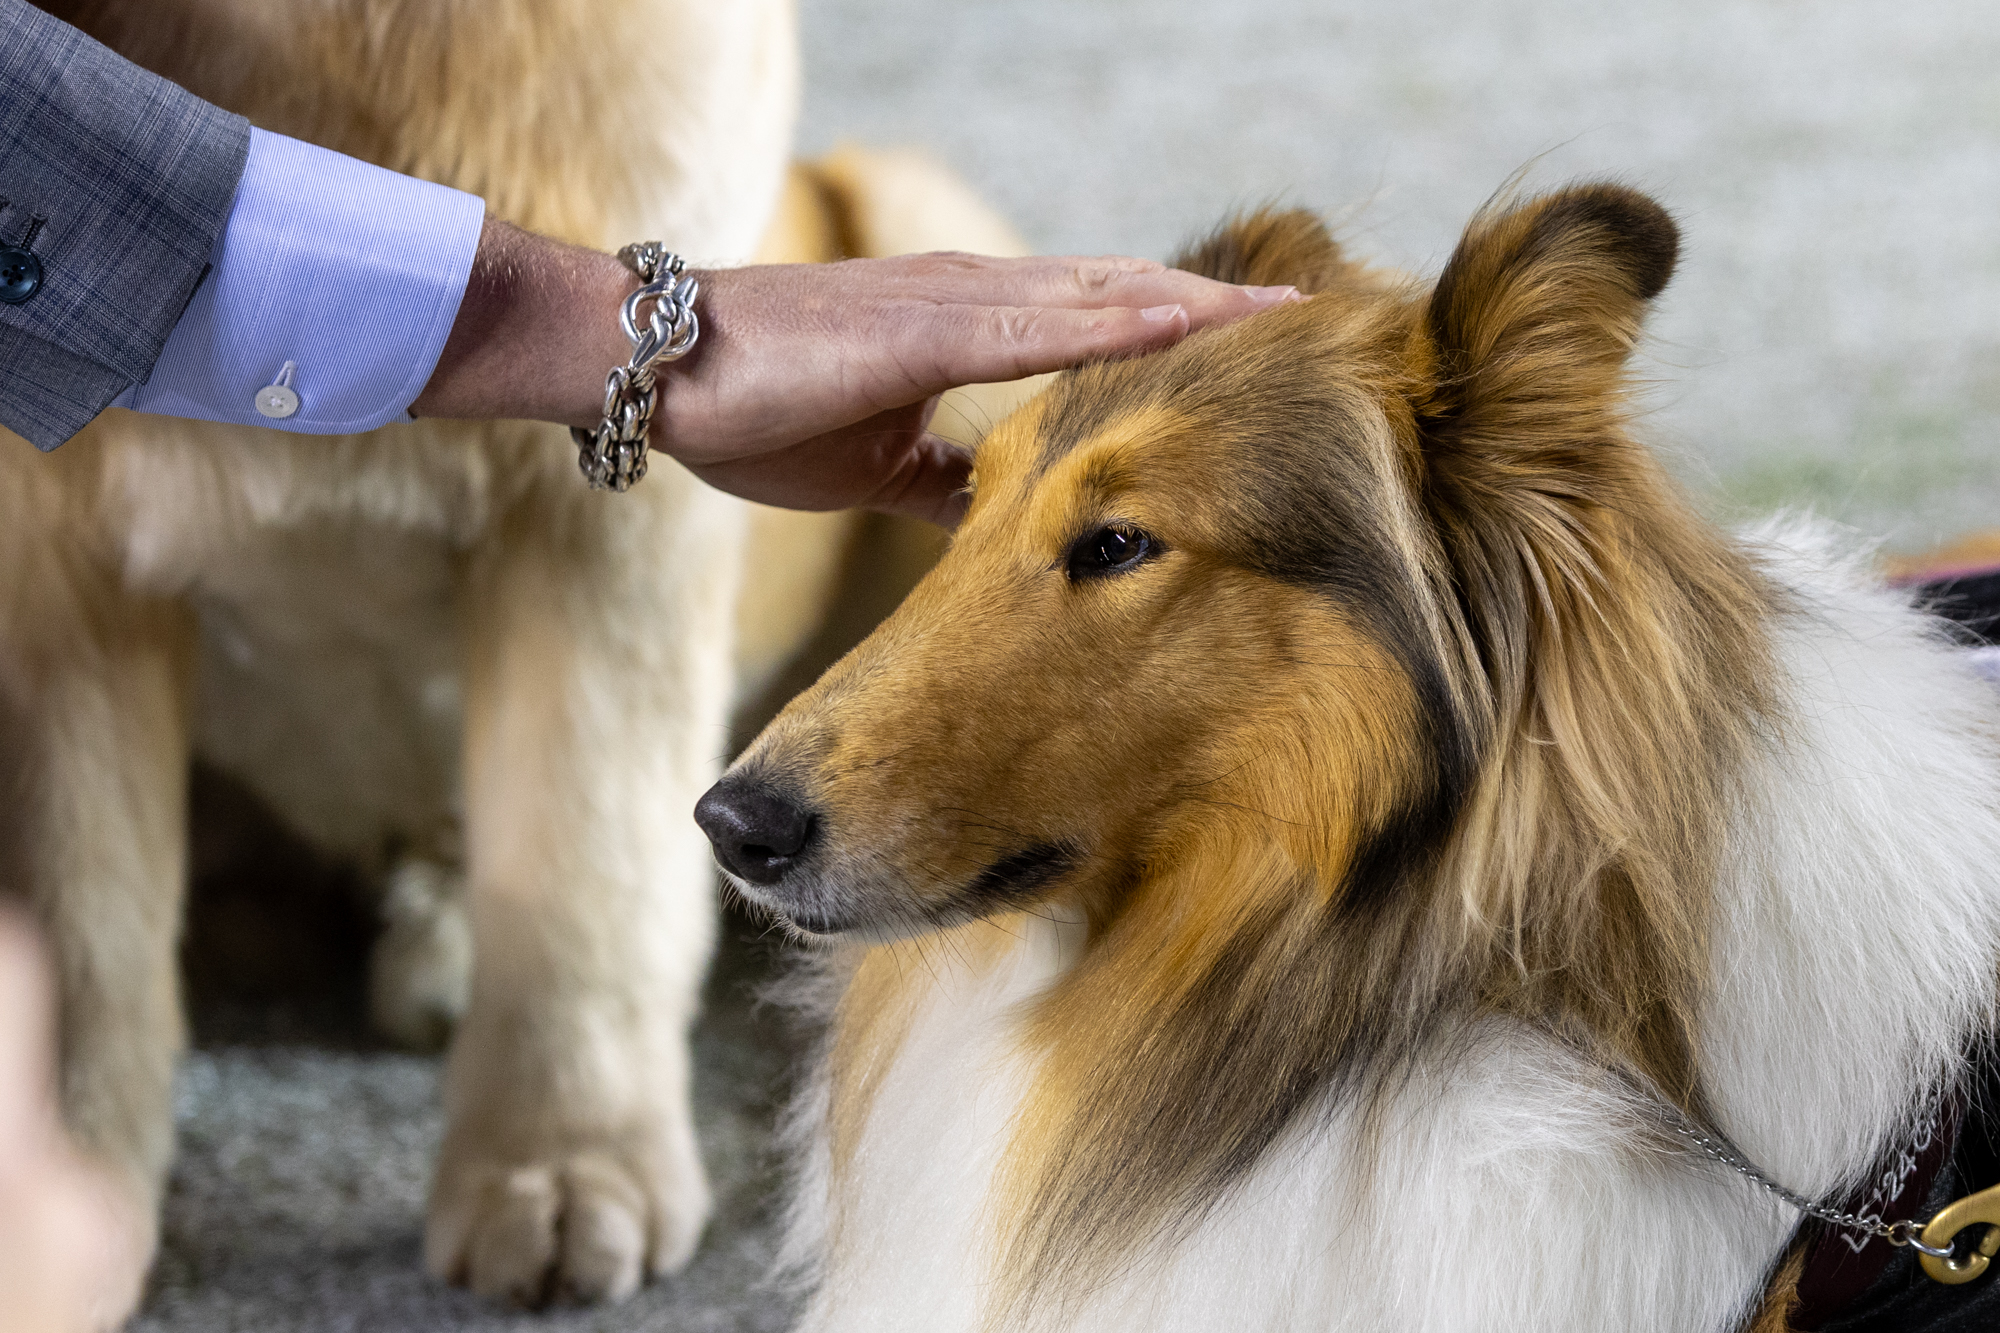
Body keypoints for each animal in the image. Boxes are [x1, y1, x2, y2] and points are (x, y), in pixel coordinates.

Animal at [0, 0, 1024, 1304]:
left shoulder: (598, 538)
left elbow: (582, 862)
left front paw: (563, 1163)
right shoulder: (54, 565)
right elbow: (85, 919)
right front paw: (56, 1203)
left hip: (916, 220)